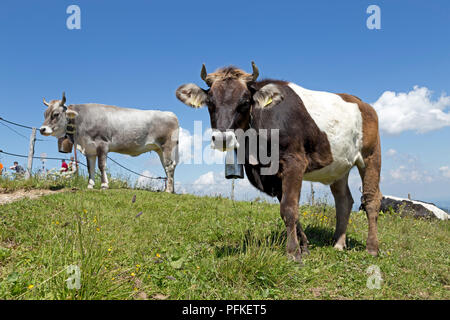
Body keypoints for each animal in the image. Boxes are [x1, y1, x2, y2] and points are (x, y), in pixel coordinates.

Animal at [39, 92, 178, 192]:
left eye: (56, 114)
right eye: (45, 114)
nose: (42, 129)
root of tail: (171, 114)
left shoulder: (102, 145)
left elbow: (101, 165)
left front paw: (104, 185)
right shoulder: (89, 149)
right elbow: (90, 167)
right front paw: (90, 185)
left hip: (167, 146)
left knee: (169, 166)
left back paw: (168, 190)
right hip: (159, 149)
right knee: (166, 166)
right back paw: (170, 189)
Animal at [178, 62, 382, 262]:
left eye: (245, 102)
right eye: (210, 102)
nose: (222, 138)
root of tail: (363, 103)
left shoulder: (294, 162)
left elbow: (289, 208)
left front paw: (293, 253)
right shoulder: (273, 175)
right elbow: (290, 209)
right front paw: (304, 247)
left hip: (371, 155)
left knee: (371, 199)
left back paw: (372, 248)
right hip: (339, 166)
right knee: (344, 201)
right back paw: (339, 244)